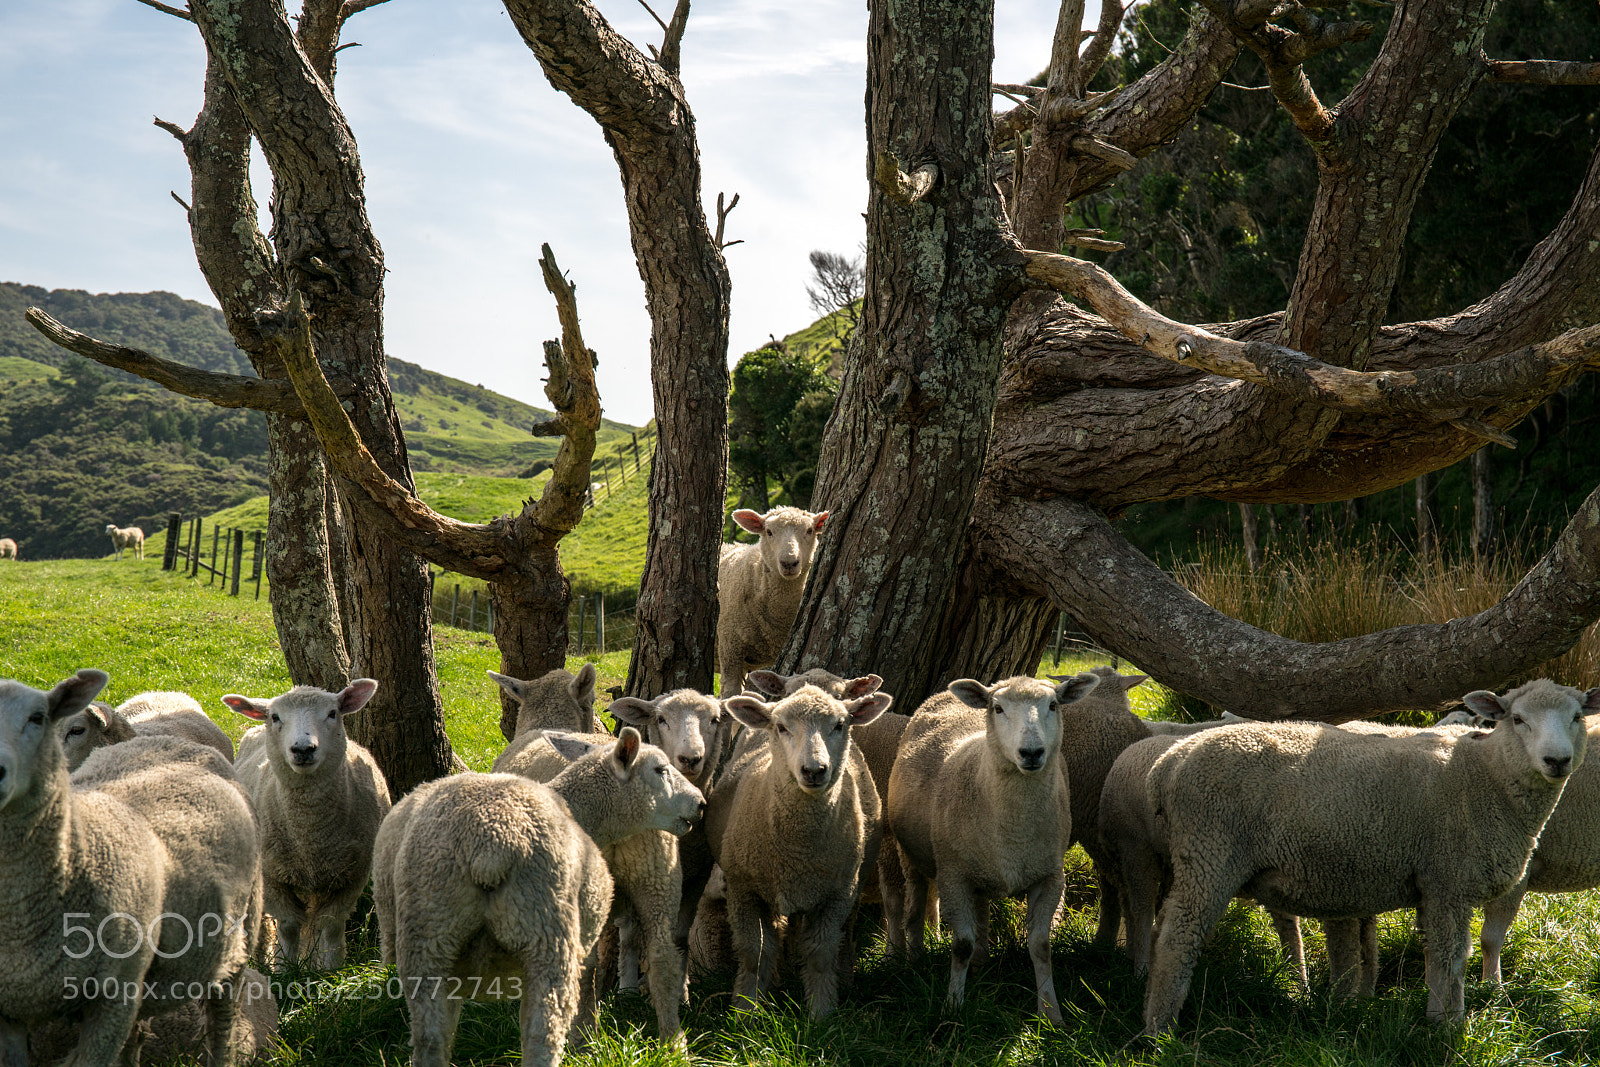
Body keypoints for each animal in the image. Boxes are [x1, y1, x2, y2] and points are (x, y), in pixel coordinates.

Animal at [226, 678, 391, 970]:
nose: (303, 749)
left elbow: (331, 925)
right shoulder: (273, 875)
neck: (309, 835)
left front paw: (332, 968)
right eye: (276, 717)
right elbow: (289, 925)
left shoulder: (352, 875)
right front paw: (285, 968)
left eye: (333, 713)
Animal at [708, 684, 892, 1018]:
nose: (814, 770)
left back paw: (842, 978)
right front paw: (746, 1010)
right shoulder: (743, 888)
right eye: (781, 727)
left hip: (852, 883)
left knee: (844, 934)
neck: (798, 847)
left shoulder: (837, 894)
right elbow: (754, 951)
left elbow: (821, 952)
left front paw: (822, 1011)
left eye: (840, 724)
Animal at [887, 673, 1098, 1023]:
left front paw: (1050, 1013)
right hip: (912, 855)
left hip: (979, 864)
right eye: (998, 708)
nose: (1031, 752)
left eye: (1053, 705)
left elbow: (1041, 946)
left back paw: (981, 961)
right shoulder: (953, 876)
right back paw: (914, 961)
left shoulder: (1050, 877)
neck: (1013, 831)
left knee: (981, 907)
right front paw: (952, 1007)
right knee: (915, 904)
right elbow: (960, 944)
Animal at [1140, 679, 1592, 1035]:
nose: (1557, 760)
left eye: (1576, 717)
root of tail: (1169, 763)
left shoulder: (1431, 883)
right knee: (1177, 938)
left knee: (1161, 929)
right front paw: (1448, 1026)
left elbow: (1434, 956)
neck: (1484, 776)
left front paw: (1434, 1017)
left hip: (1198, 855)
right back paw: (1160, 1030)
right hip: (1210, 851)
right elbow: (1451, 957)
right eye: (1517, 719)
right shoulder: (1448, 879)